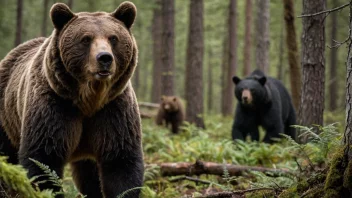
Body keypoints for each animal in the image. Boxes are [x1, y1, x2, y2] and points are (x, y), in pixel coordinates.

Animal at [0, 1, 143, 198]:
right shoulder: (55, 106)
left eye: (113, 38)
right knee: (6, 153)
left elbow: (121, 162)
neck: (89, 99)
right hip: (7, 114)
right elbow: (43, 159)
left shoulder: (113, 109)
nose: (105, 58)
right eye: (86, 39)